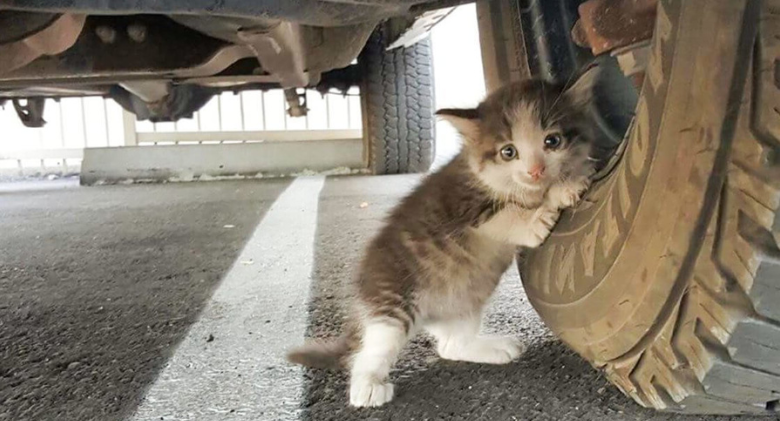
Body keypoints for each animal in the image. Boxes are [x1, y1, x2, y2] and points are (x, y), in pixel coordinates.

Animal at [286, 68, 596, 406]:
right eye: (508, 151)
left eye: (552, 141)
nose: (536, 170)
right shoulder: (460, 204)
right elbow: (507, 212)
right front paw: (543, 209)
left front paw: (566, 182)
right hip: (392, 301)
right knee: (371, 349)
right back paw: (367, 386)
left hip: (464, 302)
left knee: (450, 346)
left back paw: (492, 348)